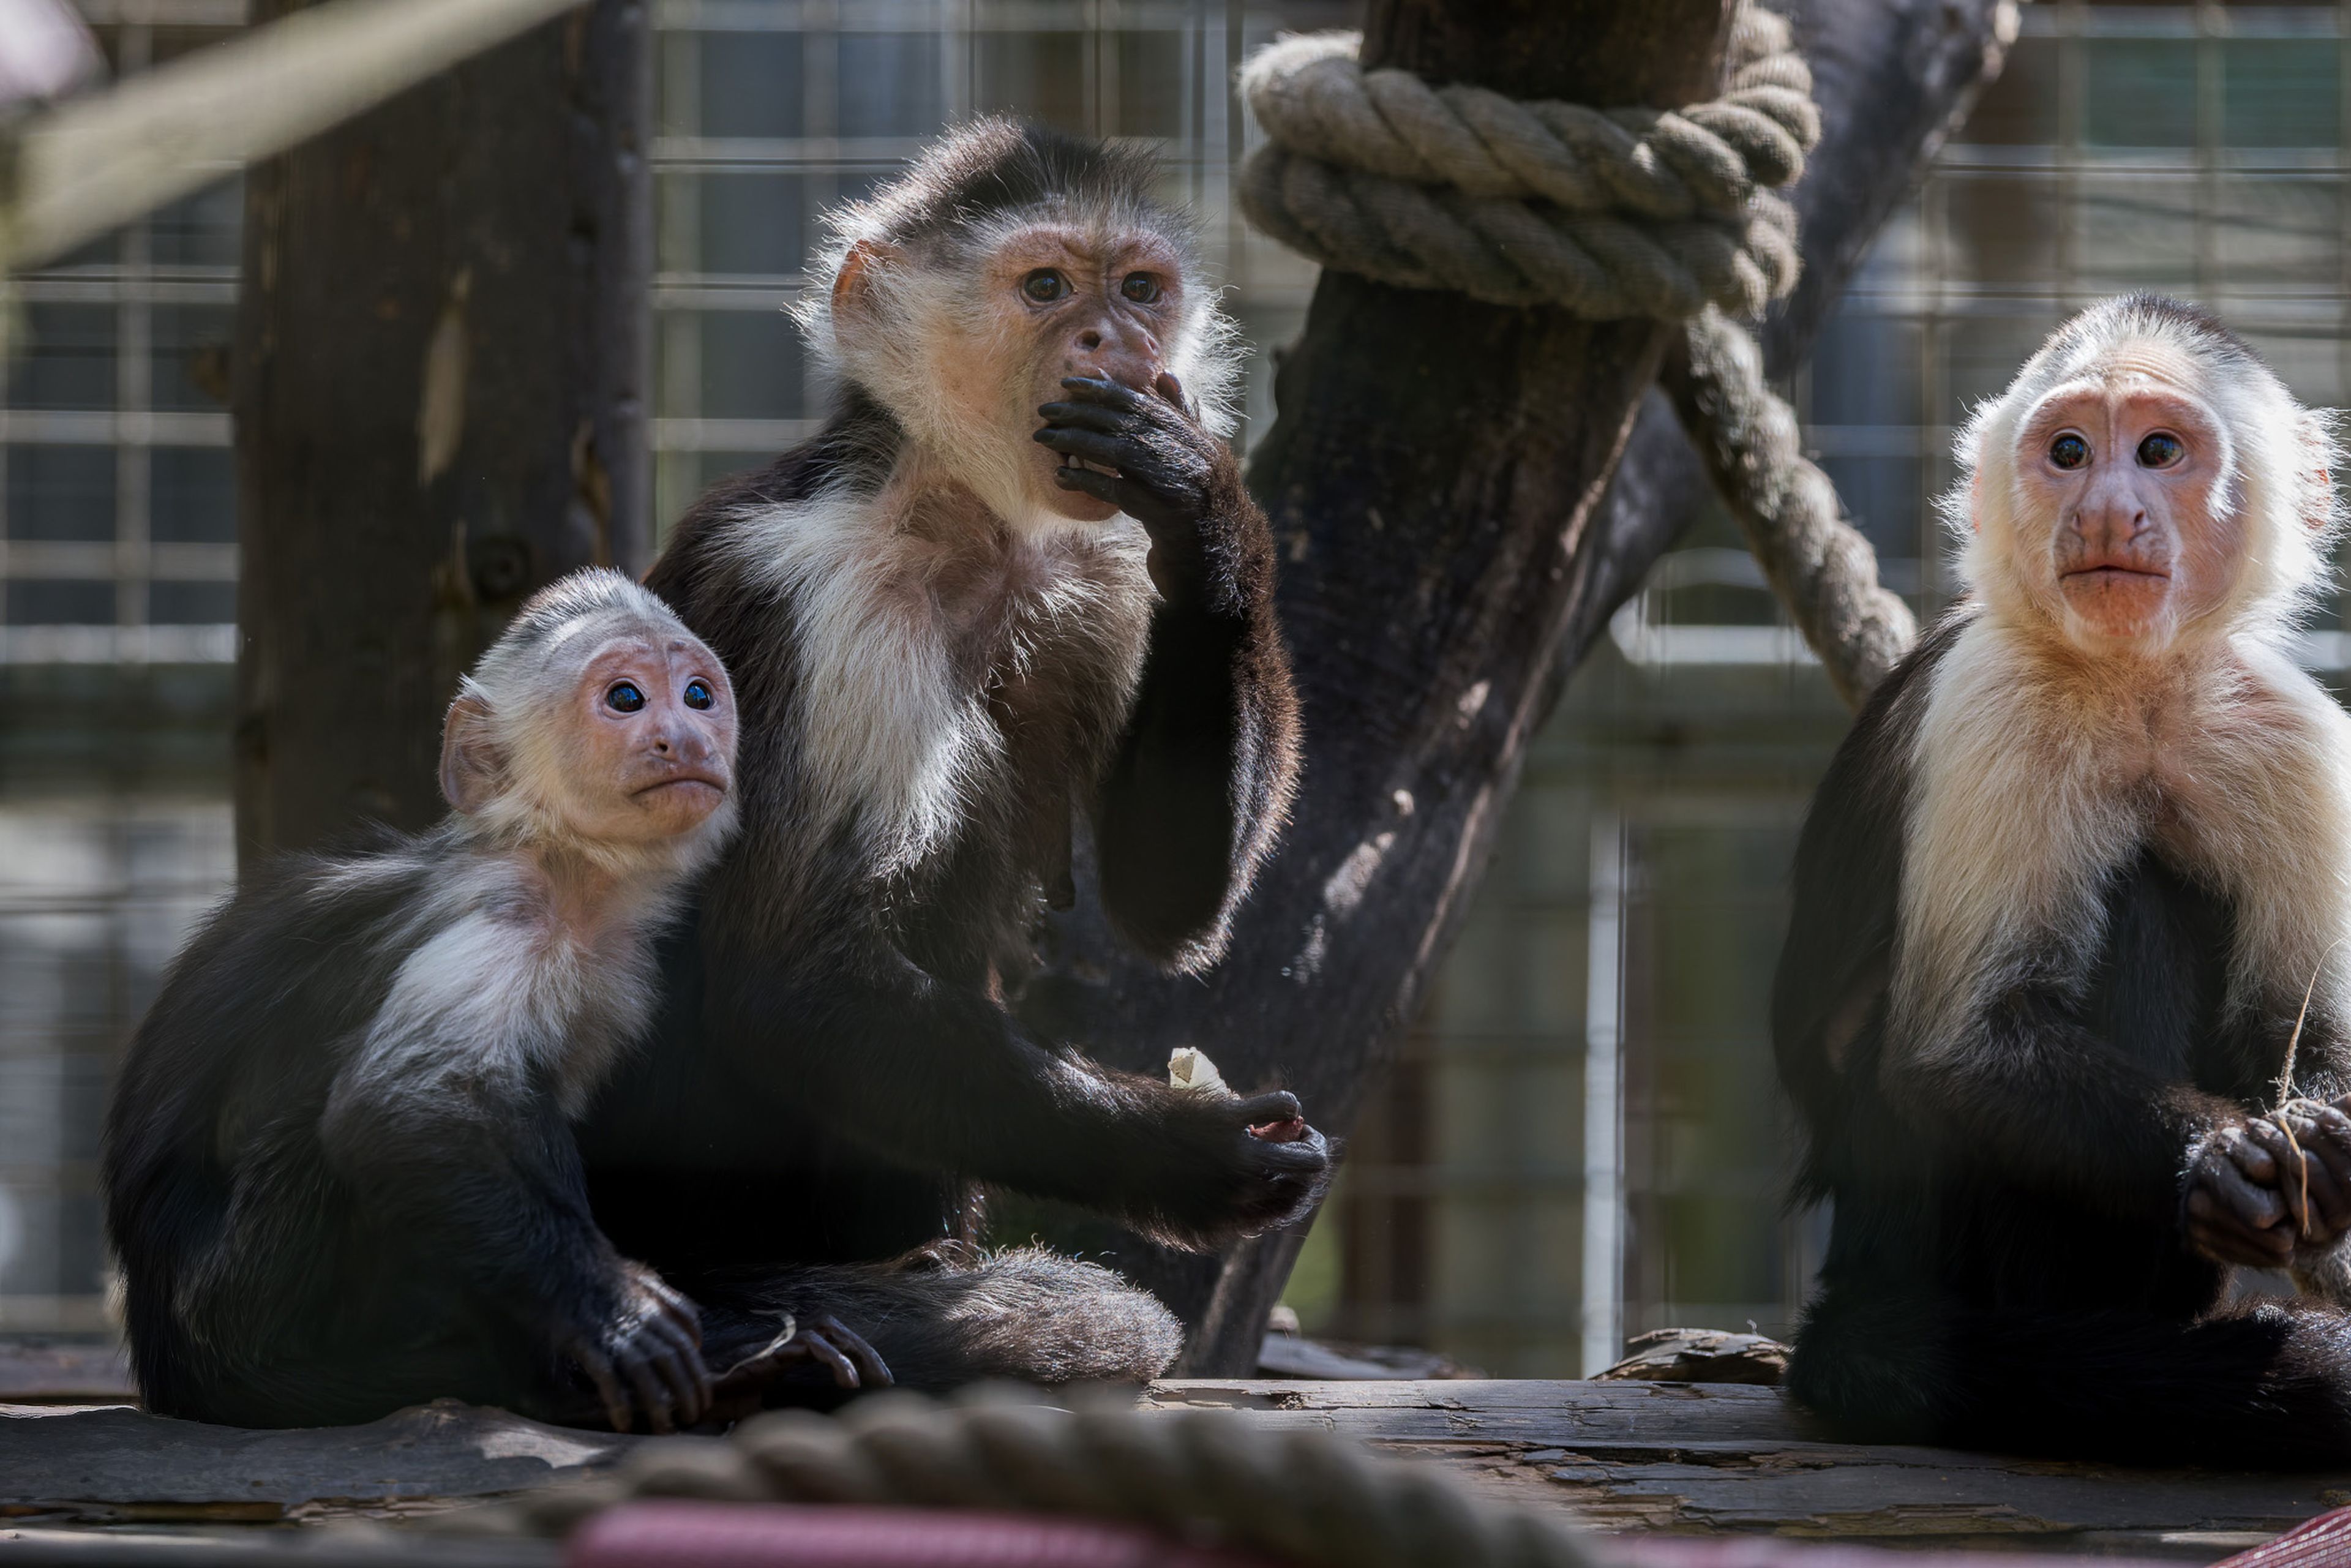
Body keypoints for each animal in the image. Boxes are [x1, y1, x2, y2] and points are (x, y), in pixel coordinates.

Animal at [103, 569, 889, 1432]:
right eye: (625, 698)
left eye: (697, 694)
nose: (684, 739)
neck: (565, 866)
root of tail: (169, 1362)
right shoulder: (506, 913)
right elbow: (400, 1111)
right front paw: (614, 1313)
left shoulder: (621, 962)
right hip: (241, 1302)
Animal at [573, 119, 1327, 1389]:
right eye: (1047, 288)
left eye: (1139, 290)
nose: (1117, 341)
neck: (963, 521)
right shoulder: (825, 594)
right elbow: (791, 978)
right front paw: (1186, 1155)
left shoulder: (1097, 571)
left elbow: (1166, 901)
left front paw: (1204, 505)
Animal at [1774, 293, 2351, 1467]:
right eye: (2071, 452)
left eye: (2160, 452)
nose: (2104, 511)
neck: (2134, 687)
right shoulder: (1994, 699)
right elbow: (1966, 1046)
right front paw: (2219, 1160)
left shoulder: (2291, 733)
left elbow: (2289, 1025)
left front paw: (2322, 1150)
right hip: (1921, 1223)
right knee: (2136, 904)